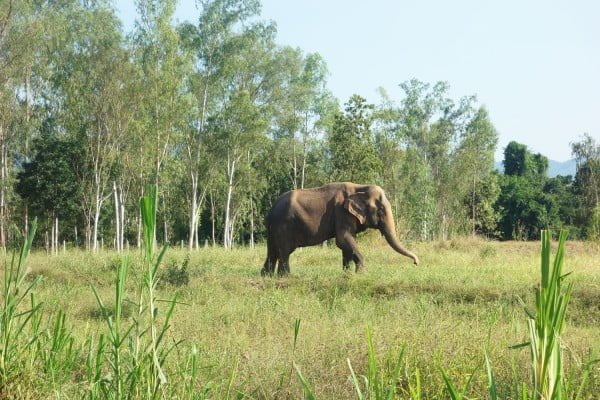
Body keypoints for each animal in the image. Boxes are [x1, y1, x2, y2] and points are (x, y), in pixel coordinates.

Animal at [260, 181, 420, 276]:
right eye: (380, 211)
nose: (416, 263)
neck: (360, 187)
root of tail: (270, 210)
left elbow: (347, 243)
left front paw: (347, 275)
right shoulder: (341, 212)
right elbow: (343, 240)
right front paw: (362, 274)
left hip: (274, 229)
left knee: (272, 251)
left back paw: (267, 276)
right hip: (283, 226)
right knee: (284, 251)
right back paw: (285, 277)